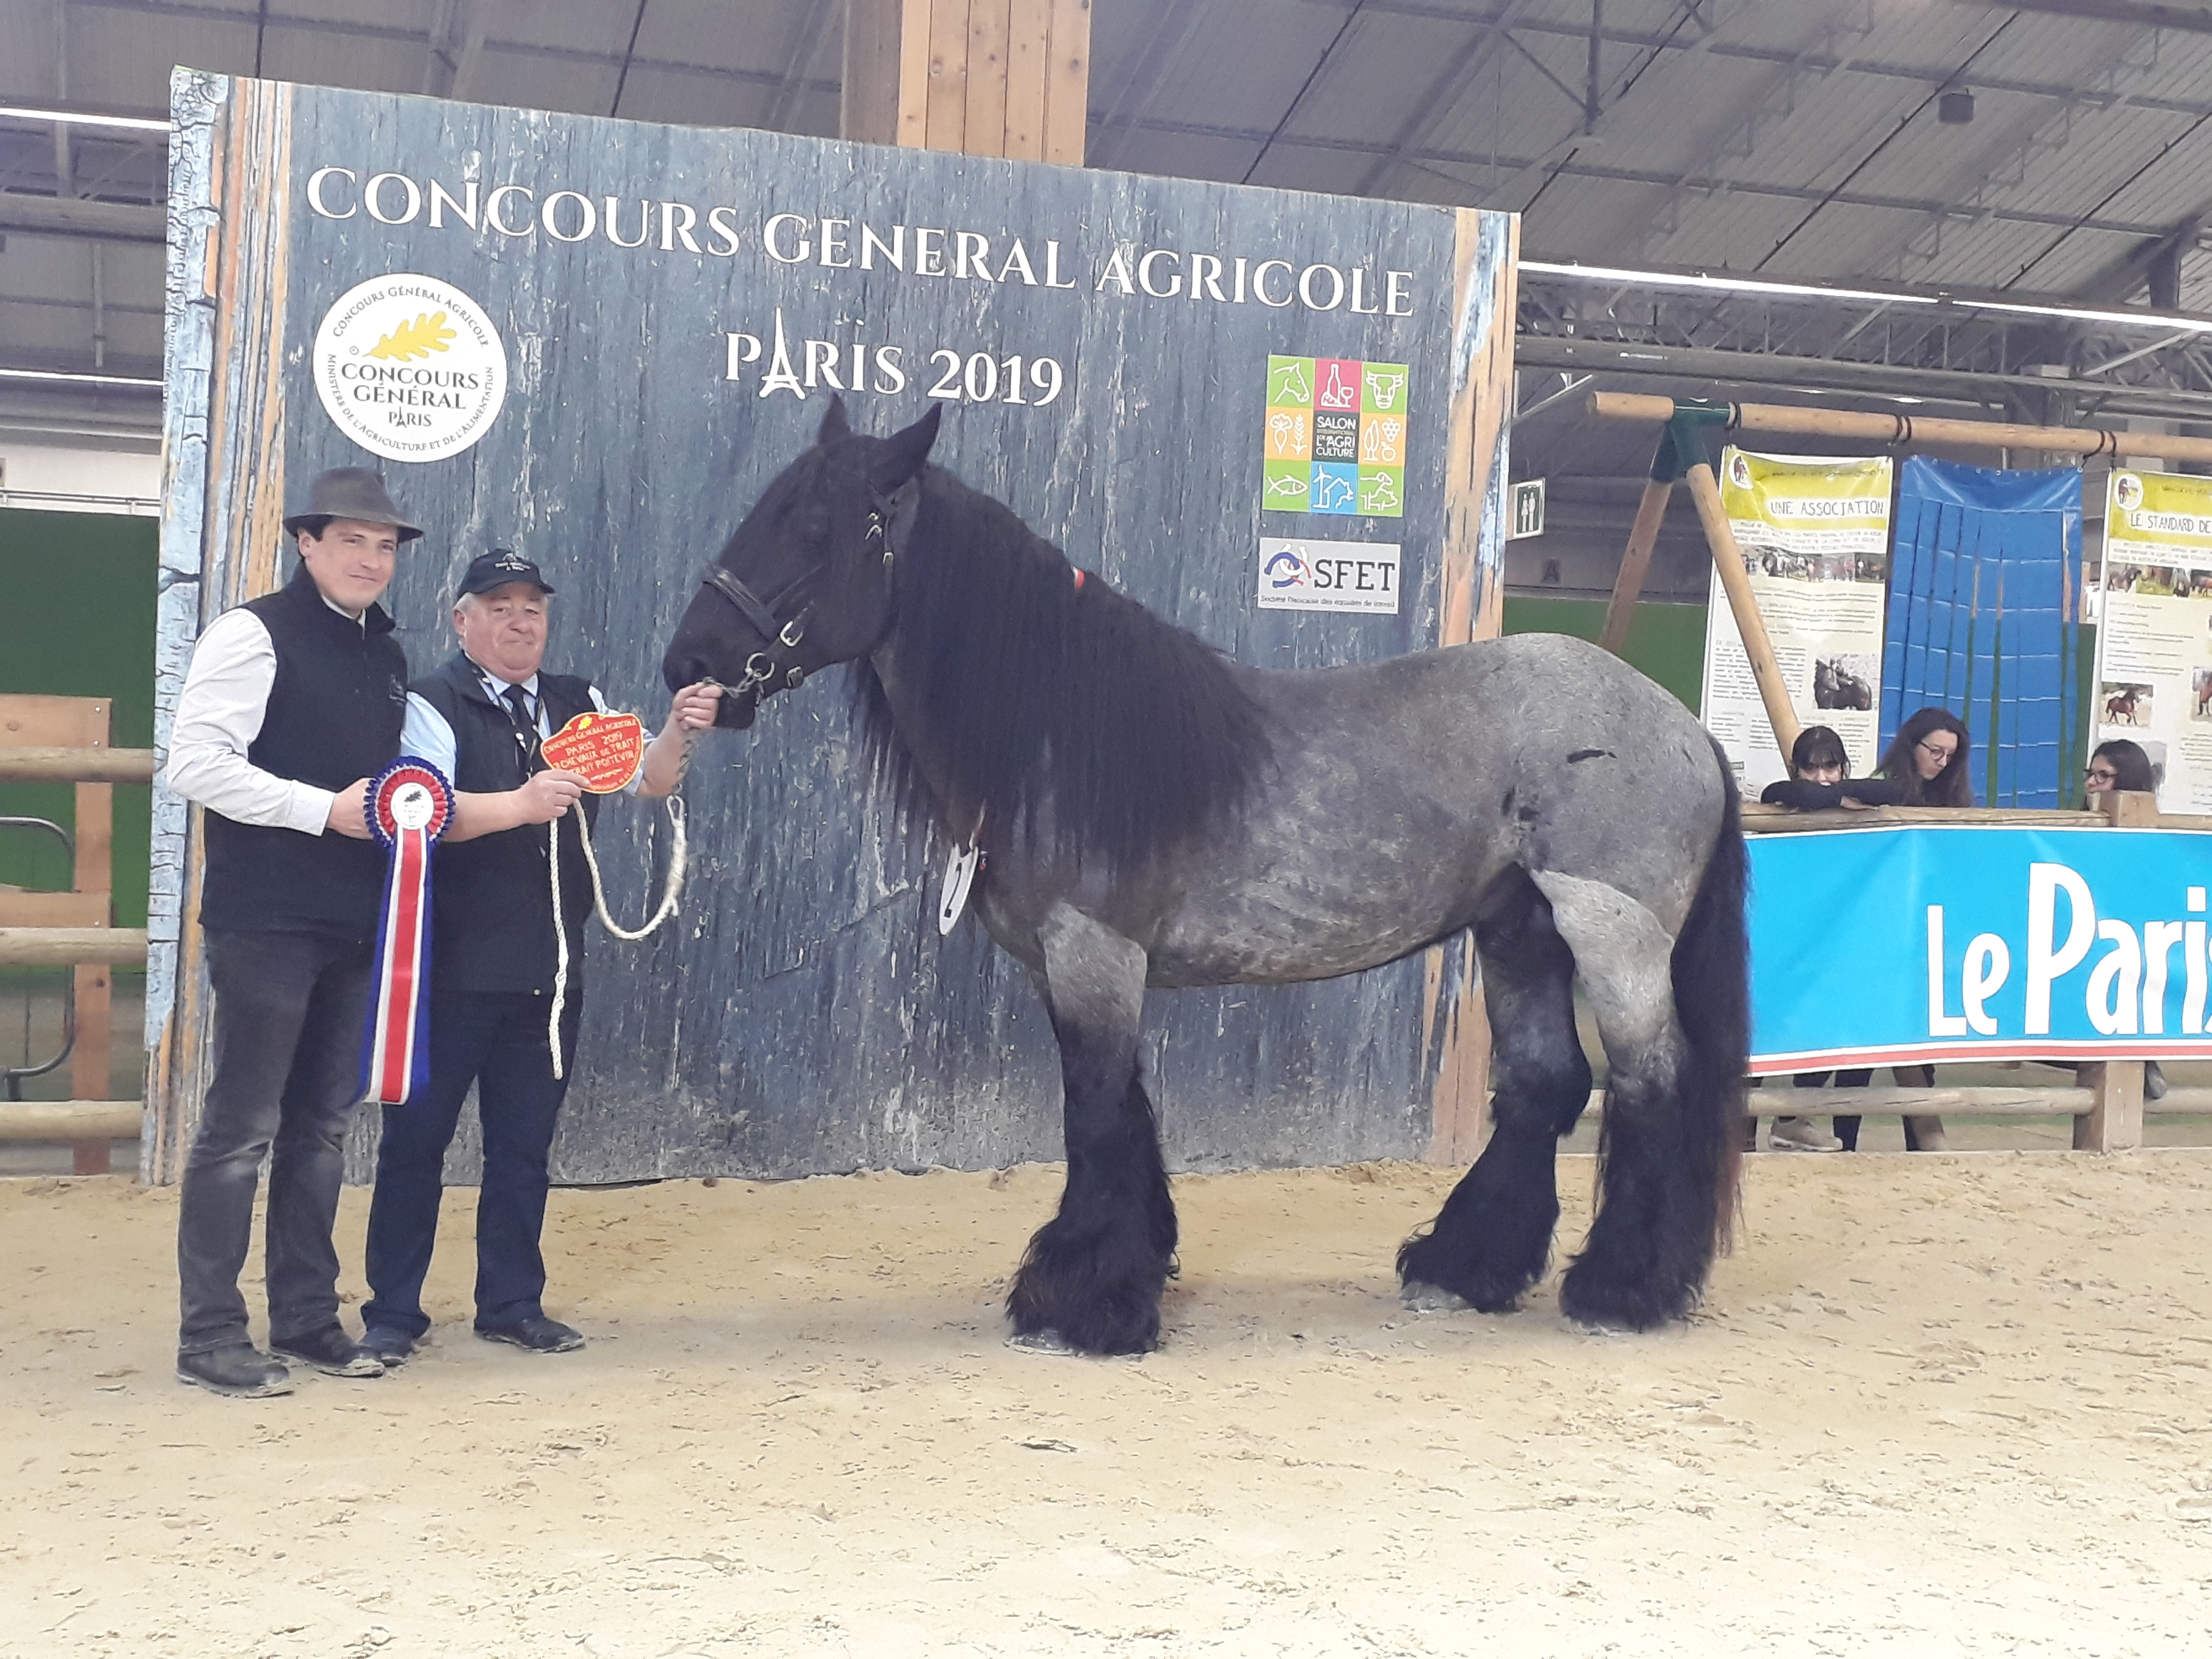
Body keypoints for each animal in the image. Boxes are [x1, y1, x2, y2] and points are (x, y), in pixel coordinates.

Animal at [654, 407, 1743, 1362]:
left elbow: (1095, 1117)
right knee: (1542, 1084)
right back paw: (1463, 1267)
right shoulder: (1073, 969)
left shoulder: (1093, 956)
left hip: (1612, 938)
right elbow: (1128, 1116)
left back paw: (1622, 1289)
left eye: (817, 526)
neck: (1063, 734)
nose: (688, 661)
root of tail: (1684, 729)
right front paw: (1126, 1274)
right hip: (1518, 933)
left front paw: (1081, 1305)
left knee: (1650, 1085)